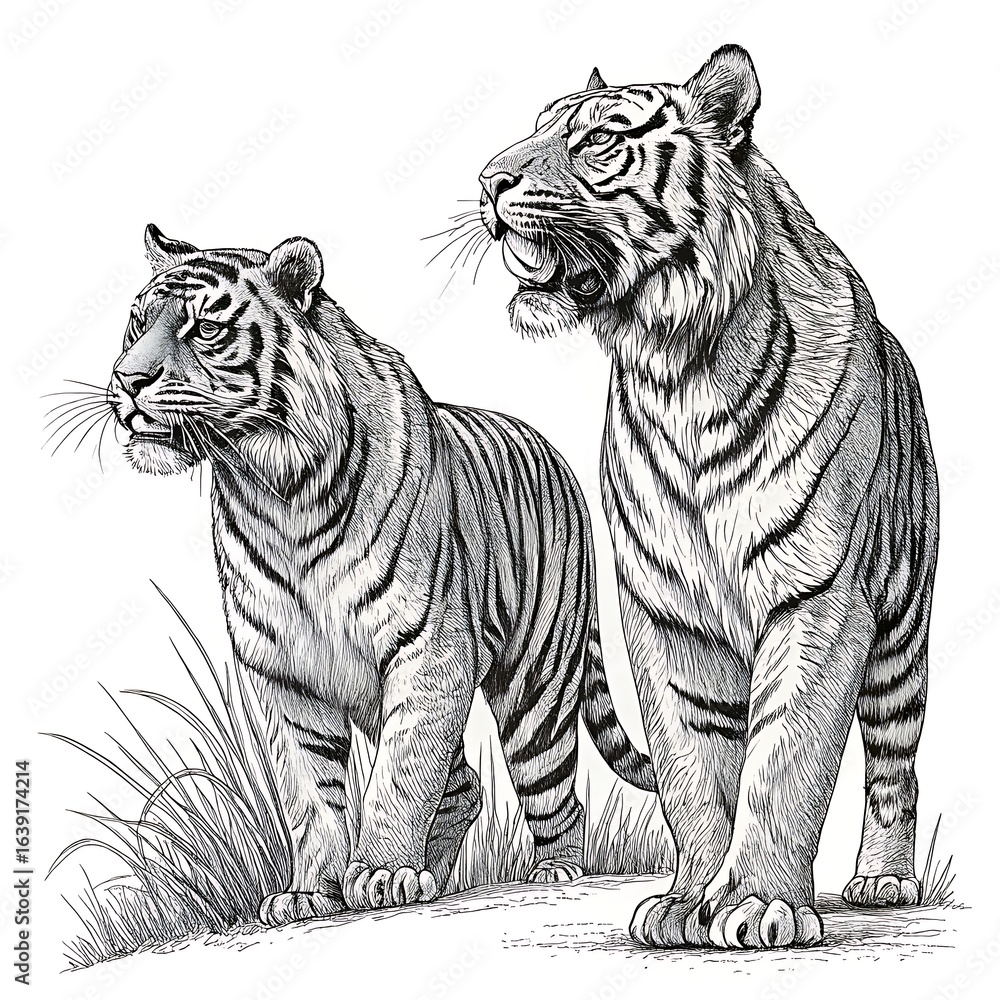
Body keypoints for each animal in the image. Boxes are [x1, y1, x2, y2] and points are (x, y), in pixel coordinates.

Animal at [106, 223, 656, 926]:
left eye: (205, 326)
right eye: (135, 323)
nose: (126, 379)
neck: (275, 493)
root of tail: (559, 459)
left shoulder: (430, 654)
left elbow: (402, 773)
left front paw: (382, 872)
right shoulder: (285, 675)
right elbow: (312, 792)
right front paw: (310, 891)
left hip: (538, 691)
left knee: (551, 787)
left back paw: (553, 870)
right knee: (466, 785)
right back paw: (438, 874)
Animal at [476, 45, 938, 949]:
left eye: (597, 140)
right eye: (534, 126)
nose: (488, 182)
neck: (677, 366)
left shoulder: (819, 598)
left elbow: (783, 760)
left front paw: (759, 904)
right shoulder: (664, 611)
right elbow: (694, 770)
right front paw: (689, 901)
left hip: (902, 627)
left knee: (893, 761)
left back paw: (882, 881)